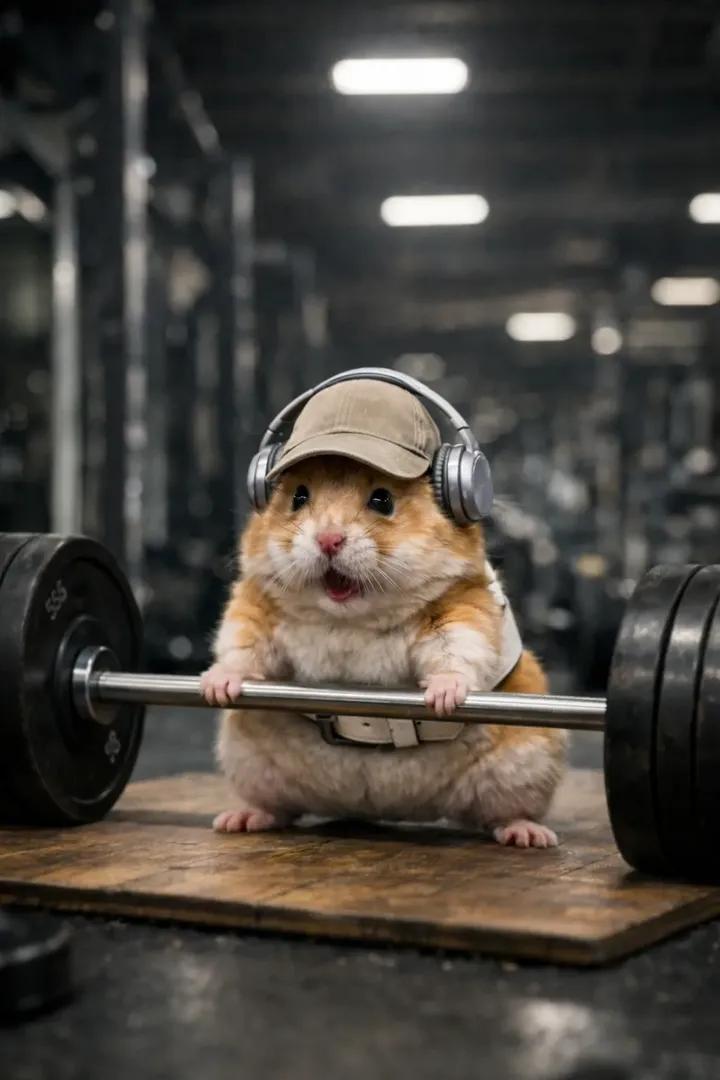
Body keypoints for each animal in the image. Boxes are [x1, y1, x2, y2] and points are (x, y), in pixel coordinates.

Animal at [201, 456, 567, 847]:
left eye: (382, 500)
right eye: (298, 496)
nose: (328, 540)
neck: (349, 618)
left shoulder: (461, 606)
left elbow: (458, 647)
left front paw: (442, 698)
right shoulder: (256, 607)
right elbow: (242, 644)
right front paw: (215, 688)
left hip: (527, 765)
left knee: (502, 814)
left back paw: (530, 836)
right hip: (248, 762)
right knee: (278, 808)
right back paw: (236, 820)